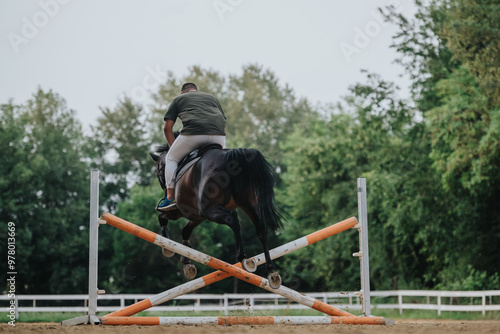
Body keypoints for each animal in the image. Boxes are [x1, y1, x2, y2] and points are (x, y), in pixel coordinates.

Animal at [149, 145, 286, 288]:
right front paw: (187, 262)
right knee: (260, 229)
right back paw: (271, 271)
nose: (166, 193)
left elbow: (162, 217)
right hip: (248, 204)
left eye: (158, 171)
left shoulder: (183, 211)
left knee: (234, 221)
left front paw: (167, 248)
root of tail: (229, 156)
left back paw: (243, 257)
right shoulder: (198, 216)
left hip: (210, 210)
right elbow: (186, 231)